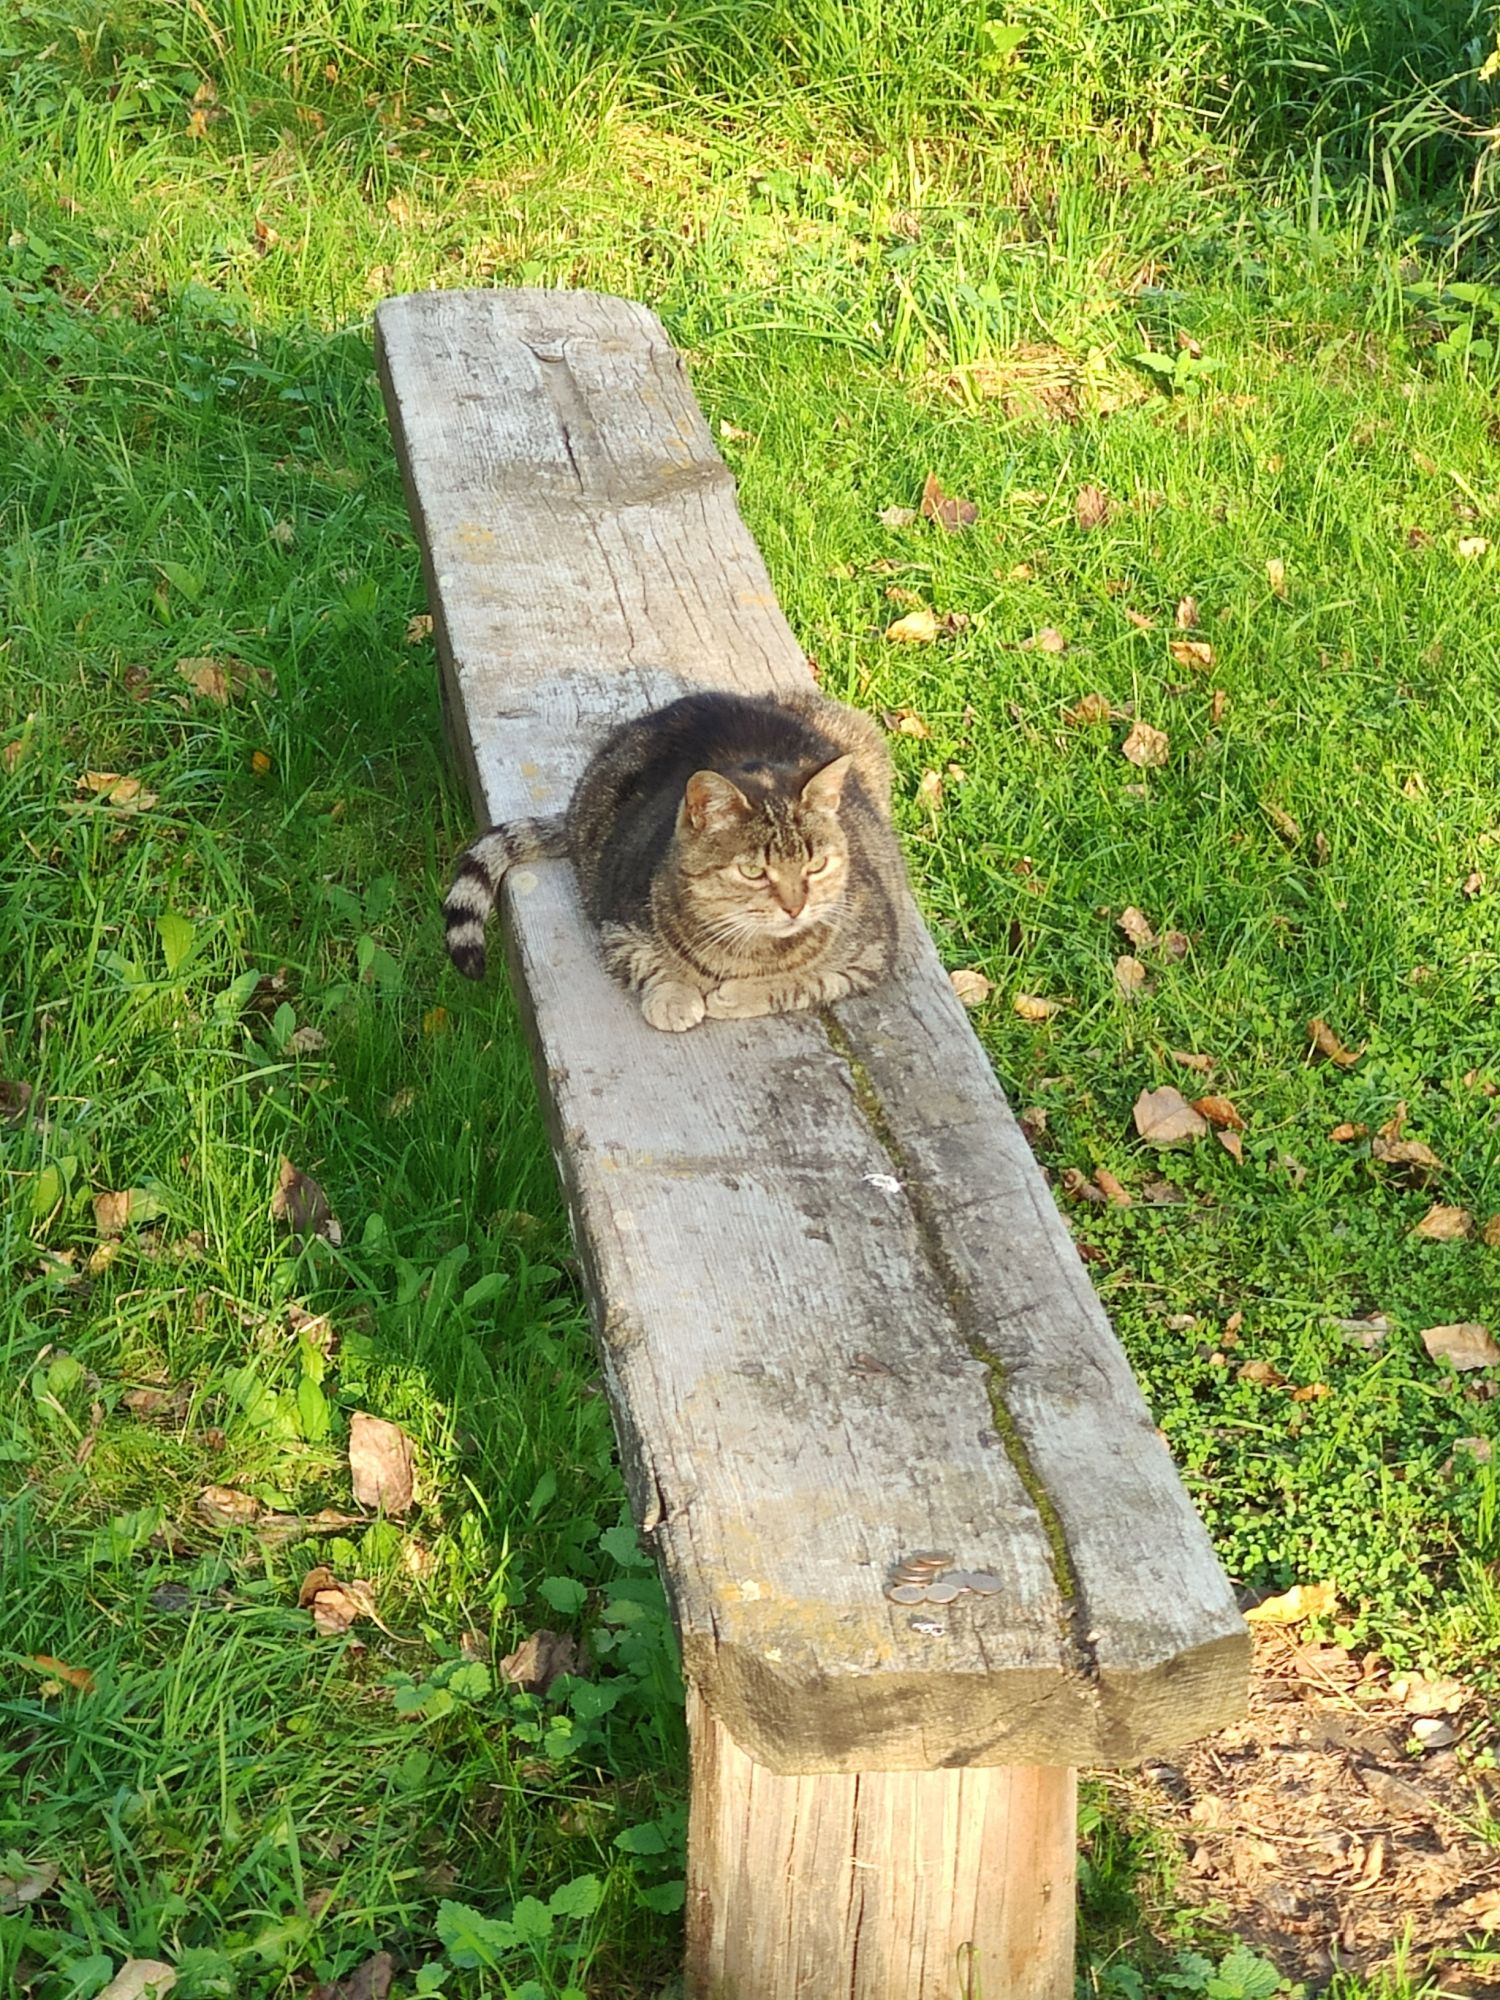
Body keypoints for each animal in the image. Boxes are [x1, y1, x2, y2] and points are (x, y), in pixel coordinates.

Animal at [443, 688, 908, 1031]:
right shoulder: (619, 930)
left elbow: (802, 981)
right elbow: (654, 964)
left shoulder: (871, 954)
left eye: (816, 865)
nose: (796, 908)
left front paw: (738, 994)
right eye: (753, 871)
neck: (748, 949)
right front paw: (675, 997)